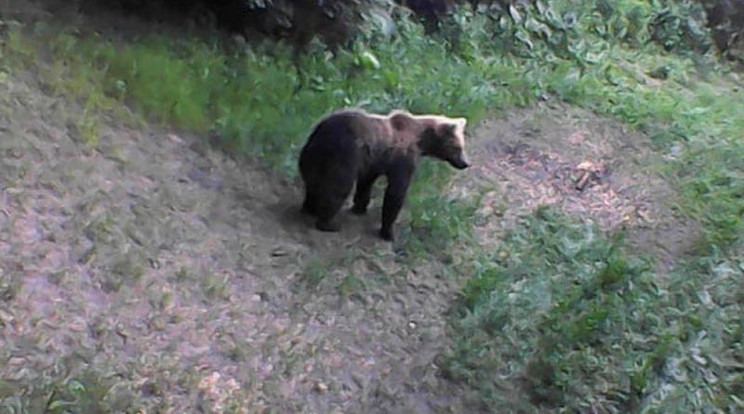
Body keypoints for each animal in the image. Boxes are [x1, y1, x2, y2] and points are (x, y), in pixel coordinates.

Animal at [298, 108, 468, 241]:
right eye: (457, 147)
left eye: (462, 145)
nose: (466, 163)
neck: (421, 141)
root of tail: (323, 132)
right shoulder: (402, 158)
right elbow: (396, 192)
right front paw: (388, 233)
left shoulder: (374, 160)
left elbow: (366, 183)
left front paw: (359, 207)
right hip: (343, 154)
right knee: (339, 187)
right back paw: (328, 223)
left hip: (312, 153)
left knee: (312, 183)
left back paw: (310, 208)